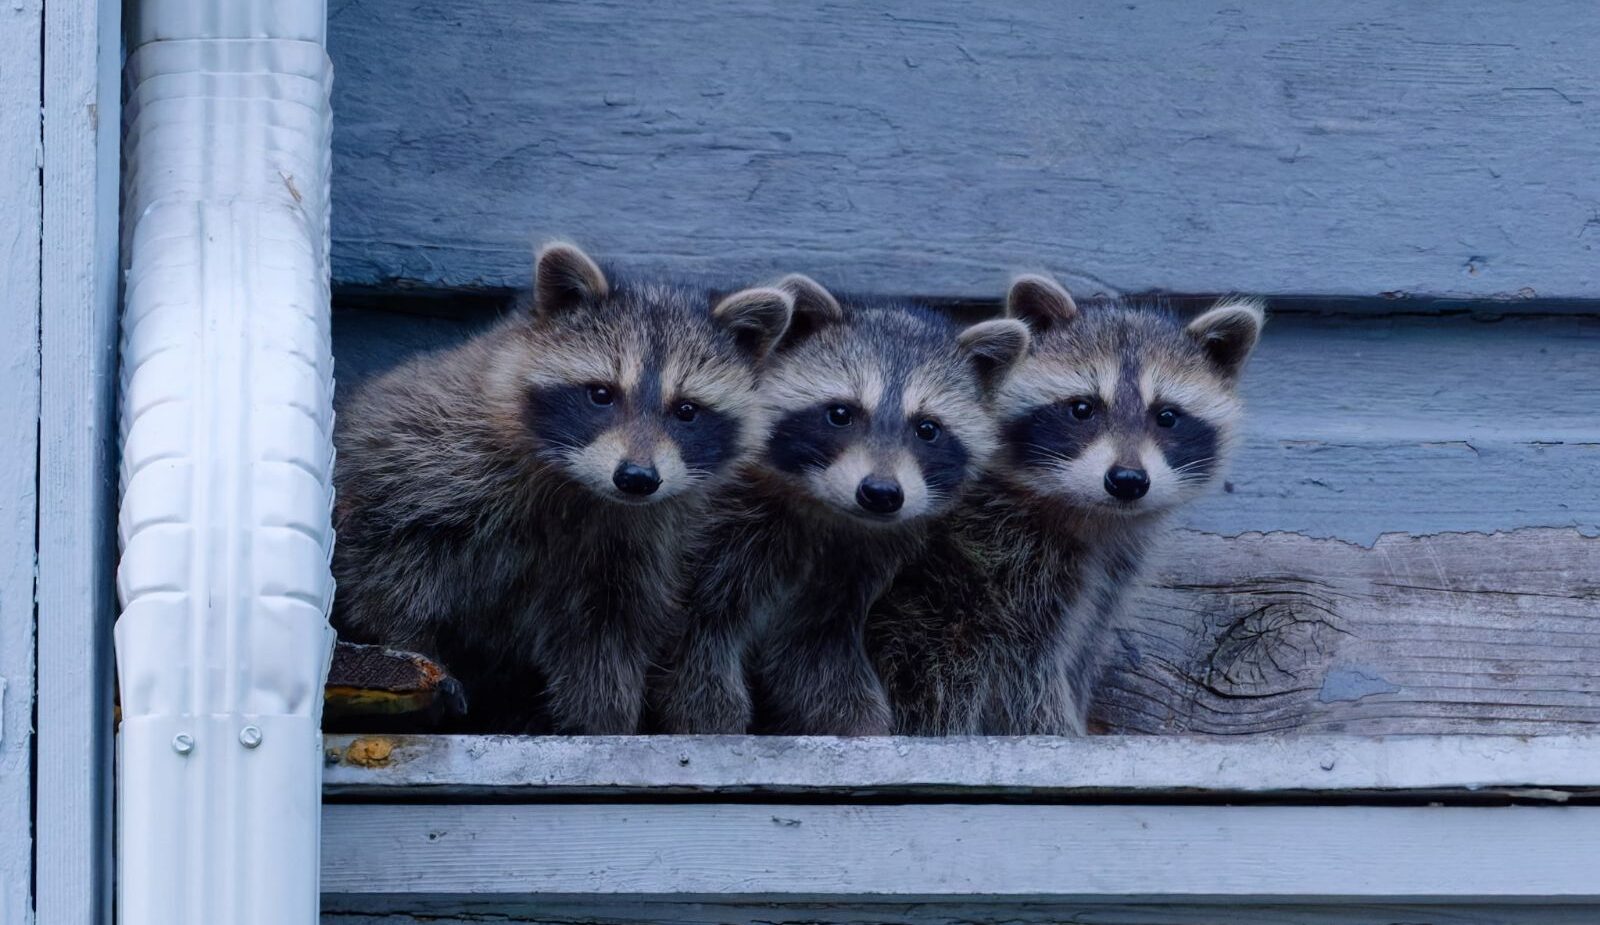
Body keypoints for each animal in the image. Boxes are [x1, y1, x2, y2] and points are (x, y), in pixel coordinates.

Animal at [331, 243, 793, 733]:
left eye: (687, 410)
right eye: (601, 394)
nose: (637, 478)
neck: (581, 486)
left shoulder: (636, 547)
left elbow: (607, 635)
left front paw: (600, 719)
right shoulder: (426, 455)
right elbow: (389, 569)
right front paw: (410, 649)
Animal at [649, 277, 1030, 735]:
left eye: (927, 429)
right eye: (841, 413)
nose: (881, 493)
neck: (825, 511)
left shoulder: (848, 568)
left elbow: (816, 658)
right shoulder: (717, 533)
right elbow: (698, 642)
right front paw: (710, 718)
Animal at [869, 275, 1264, 735]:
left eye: (1167, 416)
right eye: (1082, 408)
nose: (1127, 481)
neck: (1091, 515)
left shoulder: (1102, 574)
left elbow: (1080, 647)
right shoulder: (1000, 565)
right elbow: (1024, 676)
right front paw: (1058, 728)